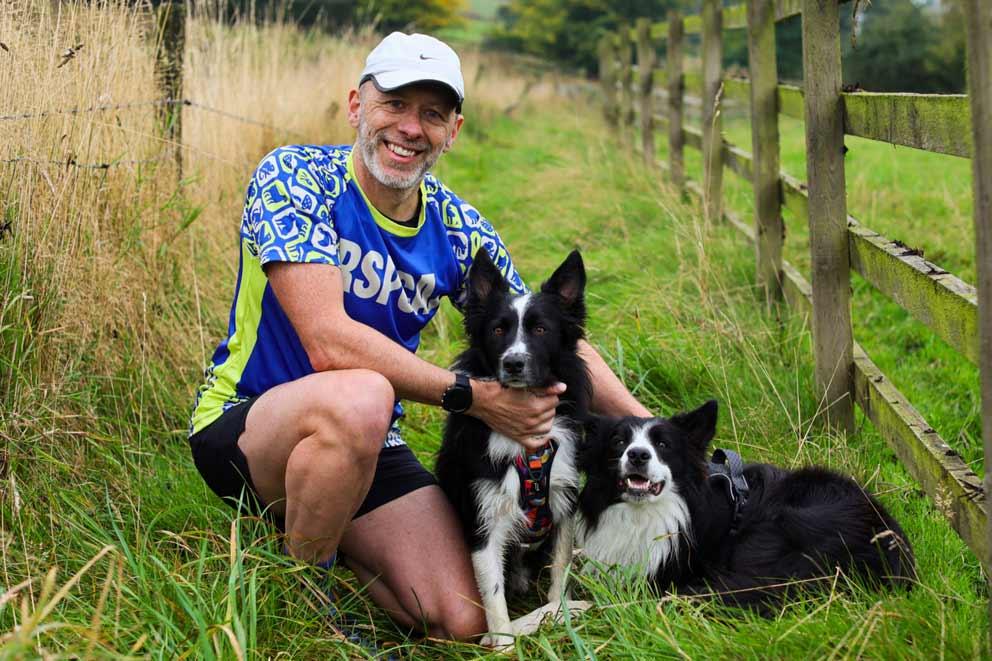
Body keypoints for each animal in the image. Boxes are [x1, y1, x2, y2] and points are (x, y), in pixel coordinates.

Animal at [434, 248, 588, 644]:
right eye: (498, 330)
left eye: (541, 329)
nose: (514, 363)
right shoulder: (483, 519)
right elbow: (493, 598)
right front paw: (504, 645)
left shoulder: (564, 499)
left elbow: (561, 565)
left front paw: (559, 612)